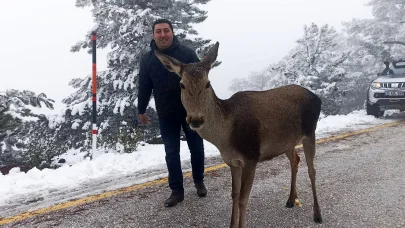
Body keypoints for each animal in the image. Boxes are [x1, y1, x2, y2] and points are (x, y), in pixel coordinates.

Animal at [155, 42, 322, 226]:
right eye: (182, 85)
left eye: (207, 83)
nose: (196, 119)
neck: (225, 140)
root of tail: (318, 98)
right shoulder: (233, 162)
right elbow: (234, 196)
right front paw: (231, 224)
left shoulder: (251, 157)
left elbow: (243, 199)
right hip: (287, 142)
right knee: (295, 160)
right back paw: (291, 200)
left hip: (310, 131)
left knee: (312, 170)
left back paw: (317, 214)